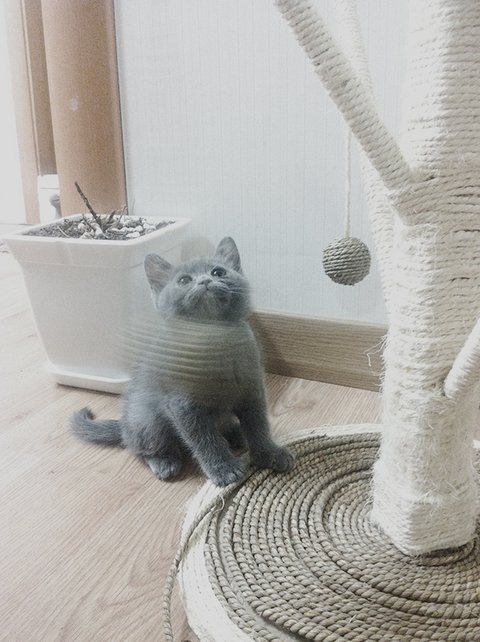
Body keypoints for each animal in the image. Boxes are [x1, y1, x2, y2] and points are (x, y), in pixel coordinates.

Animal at [71, 237, 294, 487]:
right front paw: (223, 468)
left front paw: (269, 453)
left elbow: (258, 425)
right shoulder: (183, 405)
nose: (205, 280)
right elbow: (204, 439)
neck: (213, 342)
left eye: (218, 272)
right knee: (140, 447)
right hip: (146, 419)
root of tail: (124, 424)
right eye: (184, 280)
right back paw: (164, 461)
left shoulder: (251, 389)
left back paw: (237, 433)